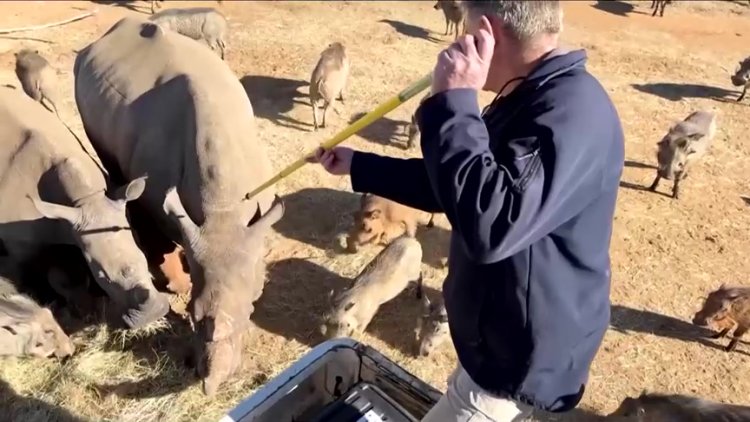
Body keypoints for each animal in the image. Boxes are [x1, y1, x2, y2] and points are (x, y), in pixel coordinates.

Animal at [0, 86, 167, 329]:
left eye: (144, 258)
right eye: (103, 277)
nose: (154, 313)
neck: (87, 200)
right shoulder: (21, 242)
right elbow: (29, 272)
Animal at [73, 17, 284, 396]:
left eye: (249, 314)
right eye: (193, 318)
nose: (211, 385)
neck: (223, 211)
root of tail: (106, 36)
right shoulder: (161, 197)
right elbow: (167, 231)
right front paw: (179, 285)